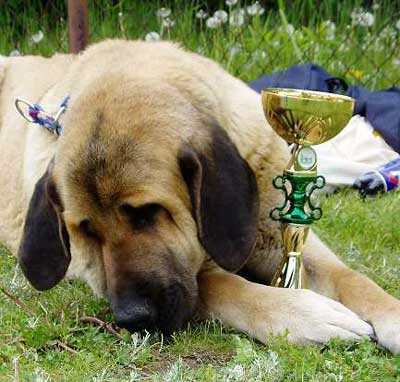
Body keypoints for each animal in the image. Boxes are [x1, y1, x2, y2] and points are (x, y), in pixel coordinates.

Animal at [0, 40, 398, 354]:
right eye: (86, 231)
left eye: (147, 212)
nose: (130, 318)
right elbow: (220, 284)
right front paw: (301, 314)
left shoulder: (284, 239)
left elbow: (354, 279)